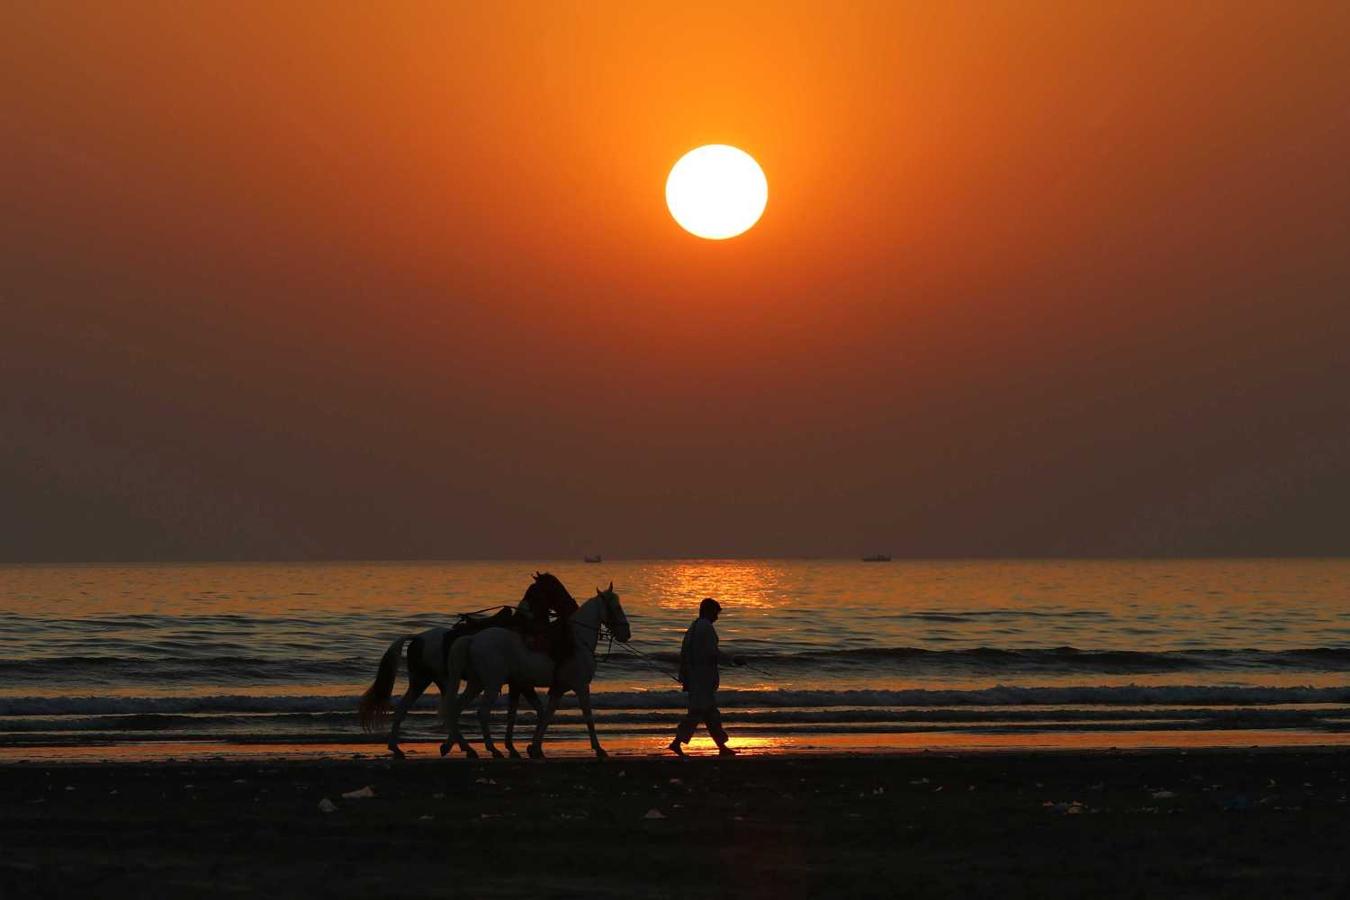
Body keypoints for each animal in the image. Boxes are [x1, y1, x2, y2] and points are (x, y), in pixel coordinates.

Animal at [442, 585, 631, 761]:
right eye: (616, 607)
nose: (626, 634)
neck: (577, 641)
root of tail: (473, 639)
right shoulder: (581, 686)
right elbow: (588, 716)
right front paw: (599, 749)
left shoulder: (558, 689)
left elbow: (547, 715)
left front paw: (534, 748)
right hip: (492, 684)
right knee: (482, 712)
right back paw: (493, 750)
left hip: (477, 683)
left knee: (456, 709)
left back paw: (467, 749)